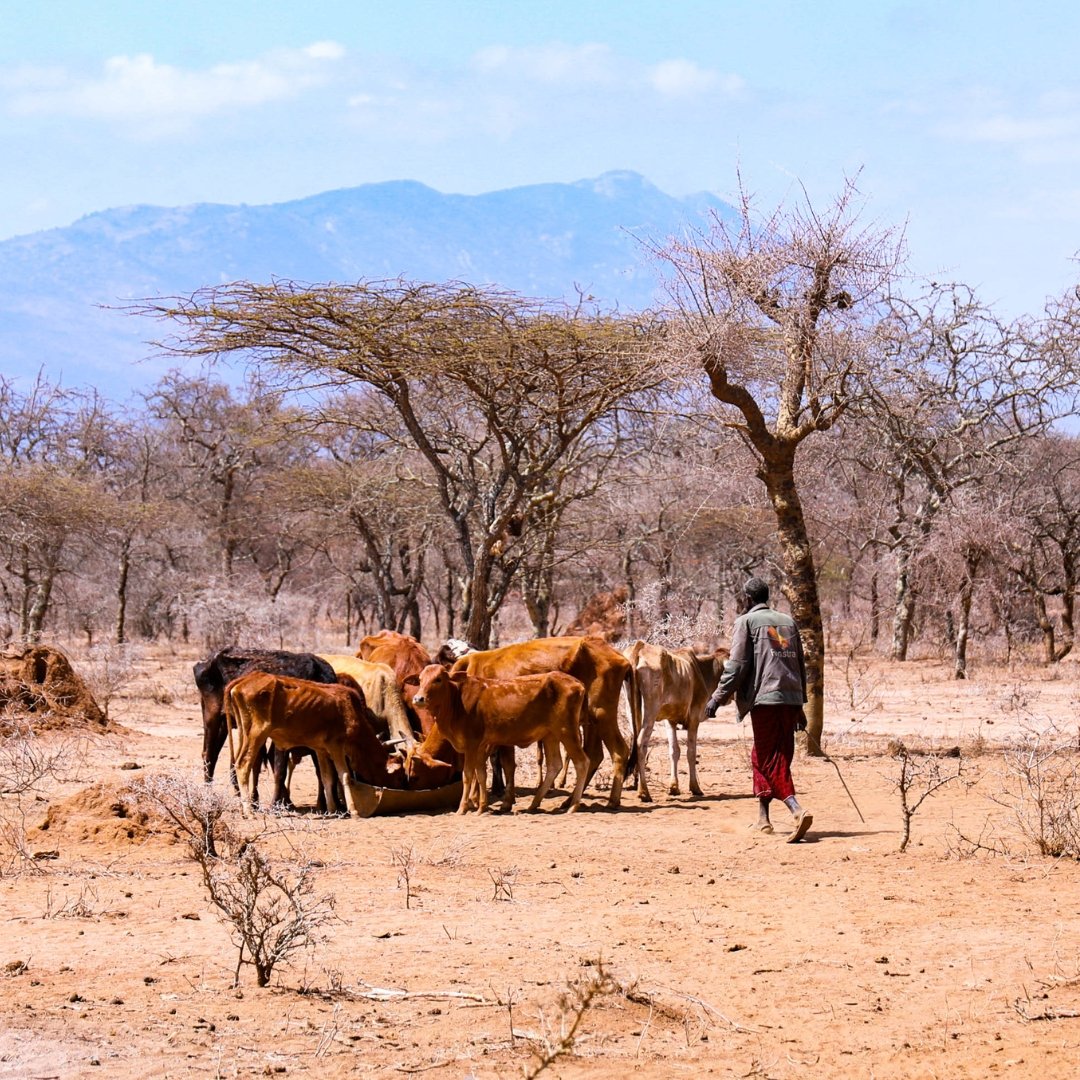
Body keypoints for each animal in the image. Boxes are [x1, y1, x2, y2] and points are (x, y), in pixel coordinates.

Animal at [223, 669, 406, 812]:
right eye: (398, 777)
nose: (399, 789)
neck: (349, 709)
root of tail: (245, 679)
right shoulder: (336, 747)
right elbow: (344, 776)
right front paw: (352, 811)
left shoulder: (320, 750)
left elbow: (326, 778)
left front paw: (332, 810)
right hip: (257, 734)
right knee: (243, 765)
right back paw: (249, 811)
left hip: (244, 733)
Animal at [408, 660, 587, 812]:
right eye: (420, 679)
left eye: (438, 679)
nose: (418, 698)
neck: (457, 702)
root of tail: (578, 683)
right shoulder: (481, 747)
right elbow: (481, 774)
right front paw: (482, 806)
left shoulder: (472, 745)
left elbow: (468, 775)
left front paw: (463, 807)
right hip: (551, 735)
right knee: (554, 765)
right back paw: (533, 804)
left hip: (567, 730)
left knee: (582, 762)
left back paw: (573, 806)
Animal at [449, 635, 635, 807]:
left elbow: (496, 763)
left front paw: (486, 800)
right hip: (590, 721)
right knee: (594, 755)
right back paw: (570, 800)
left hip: (601, 715)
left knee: (619, 751)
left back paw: (612, 800)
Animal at [622, 639, 730, 803]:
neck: (701, 671)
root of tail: (640, 647)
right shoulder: (694, 719)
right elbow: (691, 752)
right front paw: (695, 787)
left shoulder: (670, 721)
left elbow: (674, 751)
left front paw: (674, 787)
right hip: (650, 711)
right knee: (641, 743)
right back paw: (644, 792)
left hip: (631, 708)